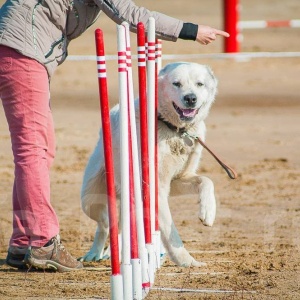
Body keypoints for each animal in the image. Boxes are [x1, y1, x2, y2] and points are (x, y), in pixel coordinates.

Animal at [81, 61, 218, 268]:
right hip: (90, 198)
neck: (174, 129)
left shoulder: (177, 180)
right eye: (176, 83)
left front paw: (208, 212)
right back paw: (95, 253)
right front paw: (187, 261)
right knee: (104, 224)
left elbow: (206, 181)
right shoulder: (156, 188)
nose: (190, 98)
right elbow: (171, 233)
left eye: (200, 84)